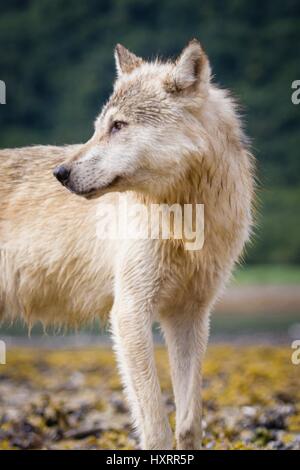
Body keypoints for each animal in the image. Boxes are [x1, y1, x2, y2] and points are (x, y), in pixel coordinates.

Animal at [0, 42, 254, 450]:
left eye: (118, 126)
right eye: (98, 128)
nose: (60, 173)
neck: (185, 223)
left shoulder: (190, 315)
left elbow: (189, 423)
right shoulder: (129, 312)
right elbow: (155, 426)